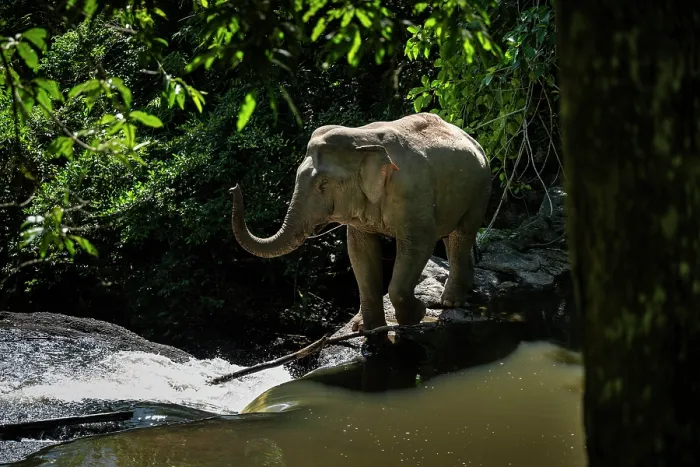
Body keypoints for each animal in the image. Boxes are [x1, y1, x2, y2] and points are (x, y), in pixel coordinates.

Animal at [230, 112, 491, 332]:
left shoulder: (411, 193)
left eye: (323, 183)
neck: (363, 139)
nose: (234, 187)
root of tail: (473, 139)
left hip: (480, 188)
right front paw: (368, 329)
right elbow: (359, 249)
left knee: (461, 234)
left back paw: (450, 302)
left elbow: (418, 243)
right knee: (453, 238)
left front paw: (415, 316)